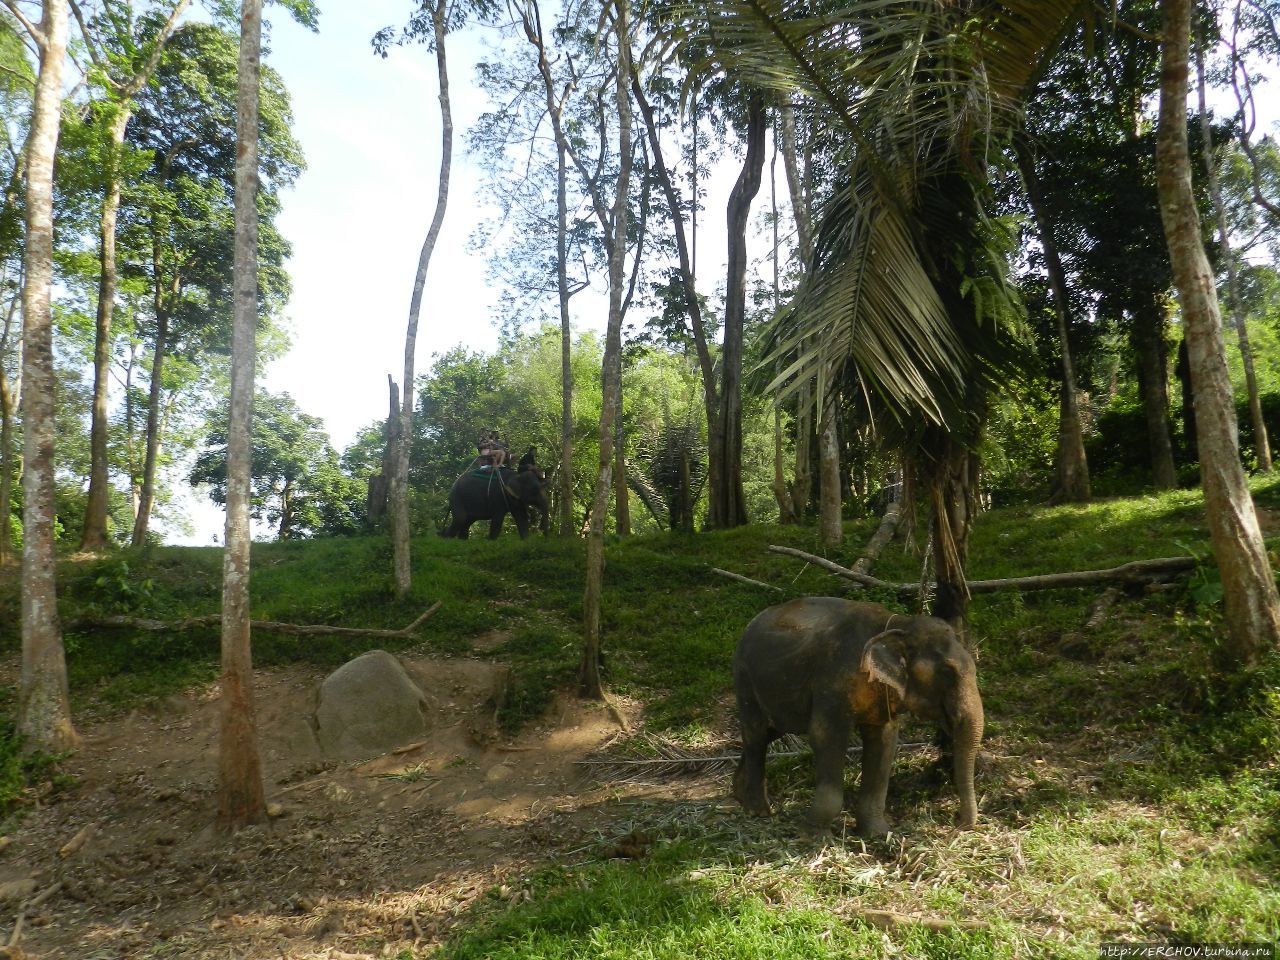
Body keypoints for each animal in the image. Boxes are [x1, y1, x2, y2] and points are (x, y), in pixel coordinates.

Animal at [737, 599, 983, 839]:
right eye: (947, 672)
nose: (956, 824)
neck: (898, 625)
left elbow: (883, 741)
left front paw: (877, 834)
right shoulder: (833, 680)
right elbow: (825, 736)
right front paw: (815, 837)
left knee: (770, 732)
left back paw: (739, 796)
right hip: (745, 678)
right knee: (756, 734)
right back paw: (758, 811)